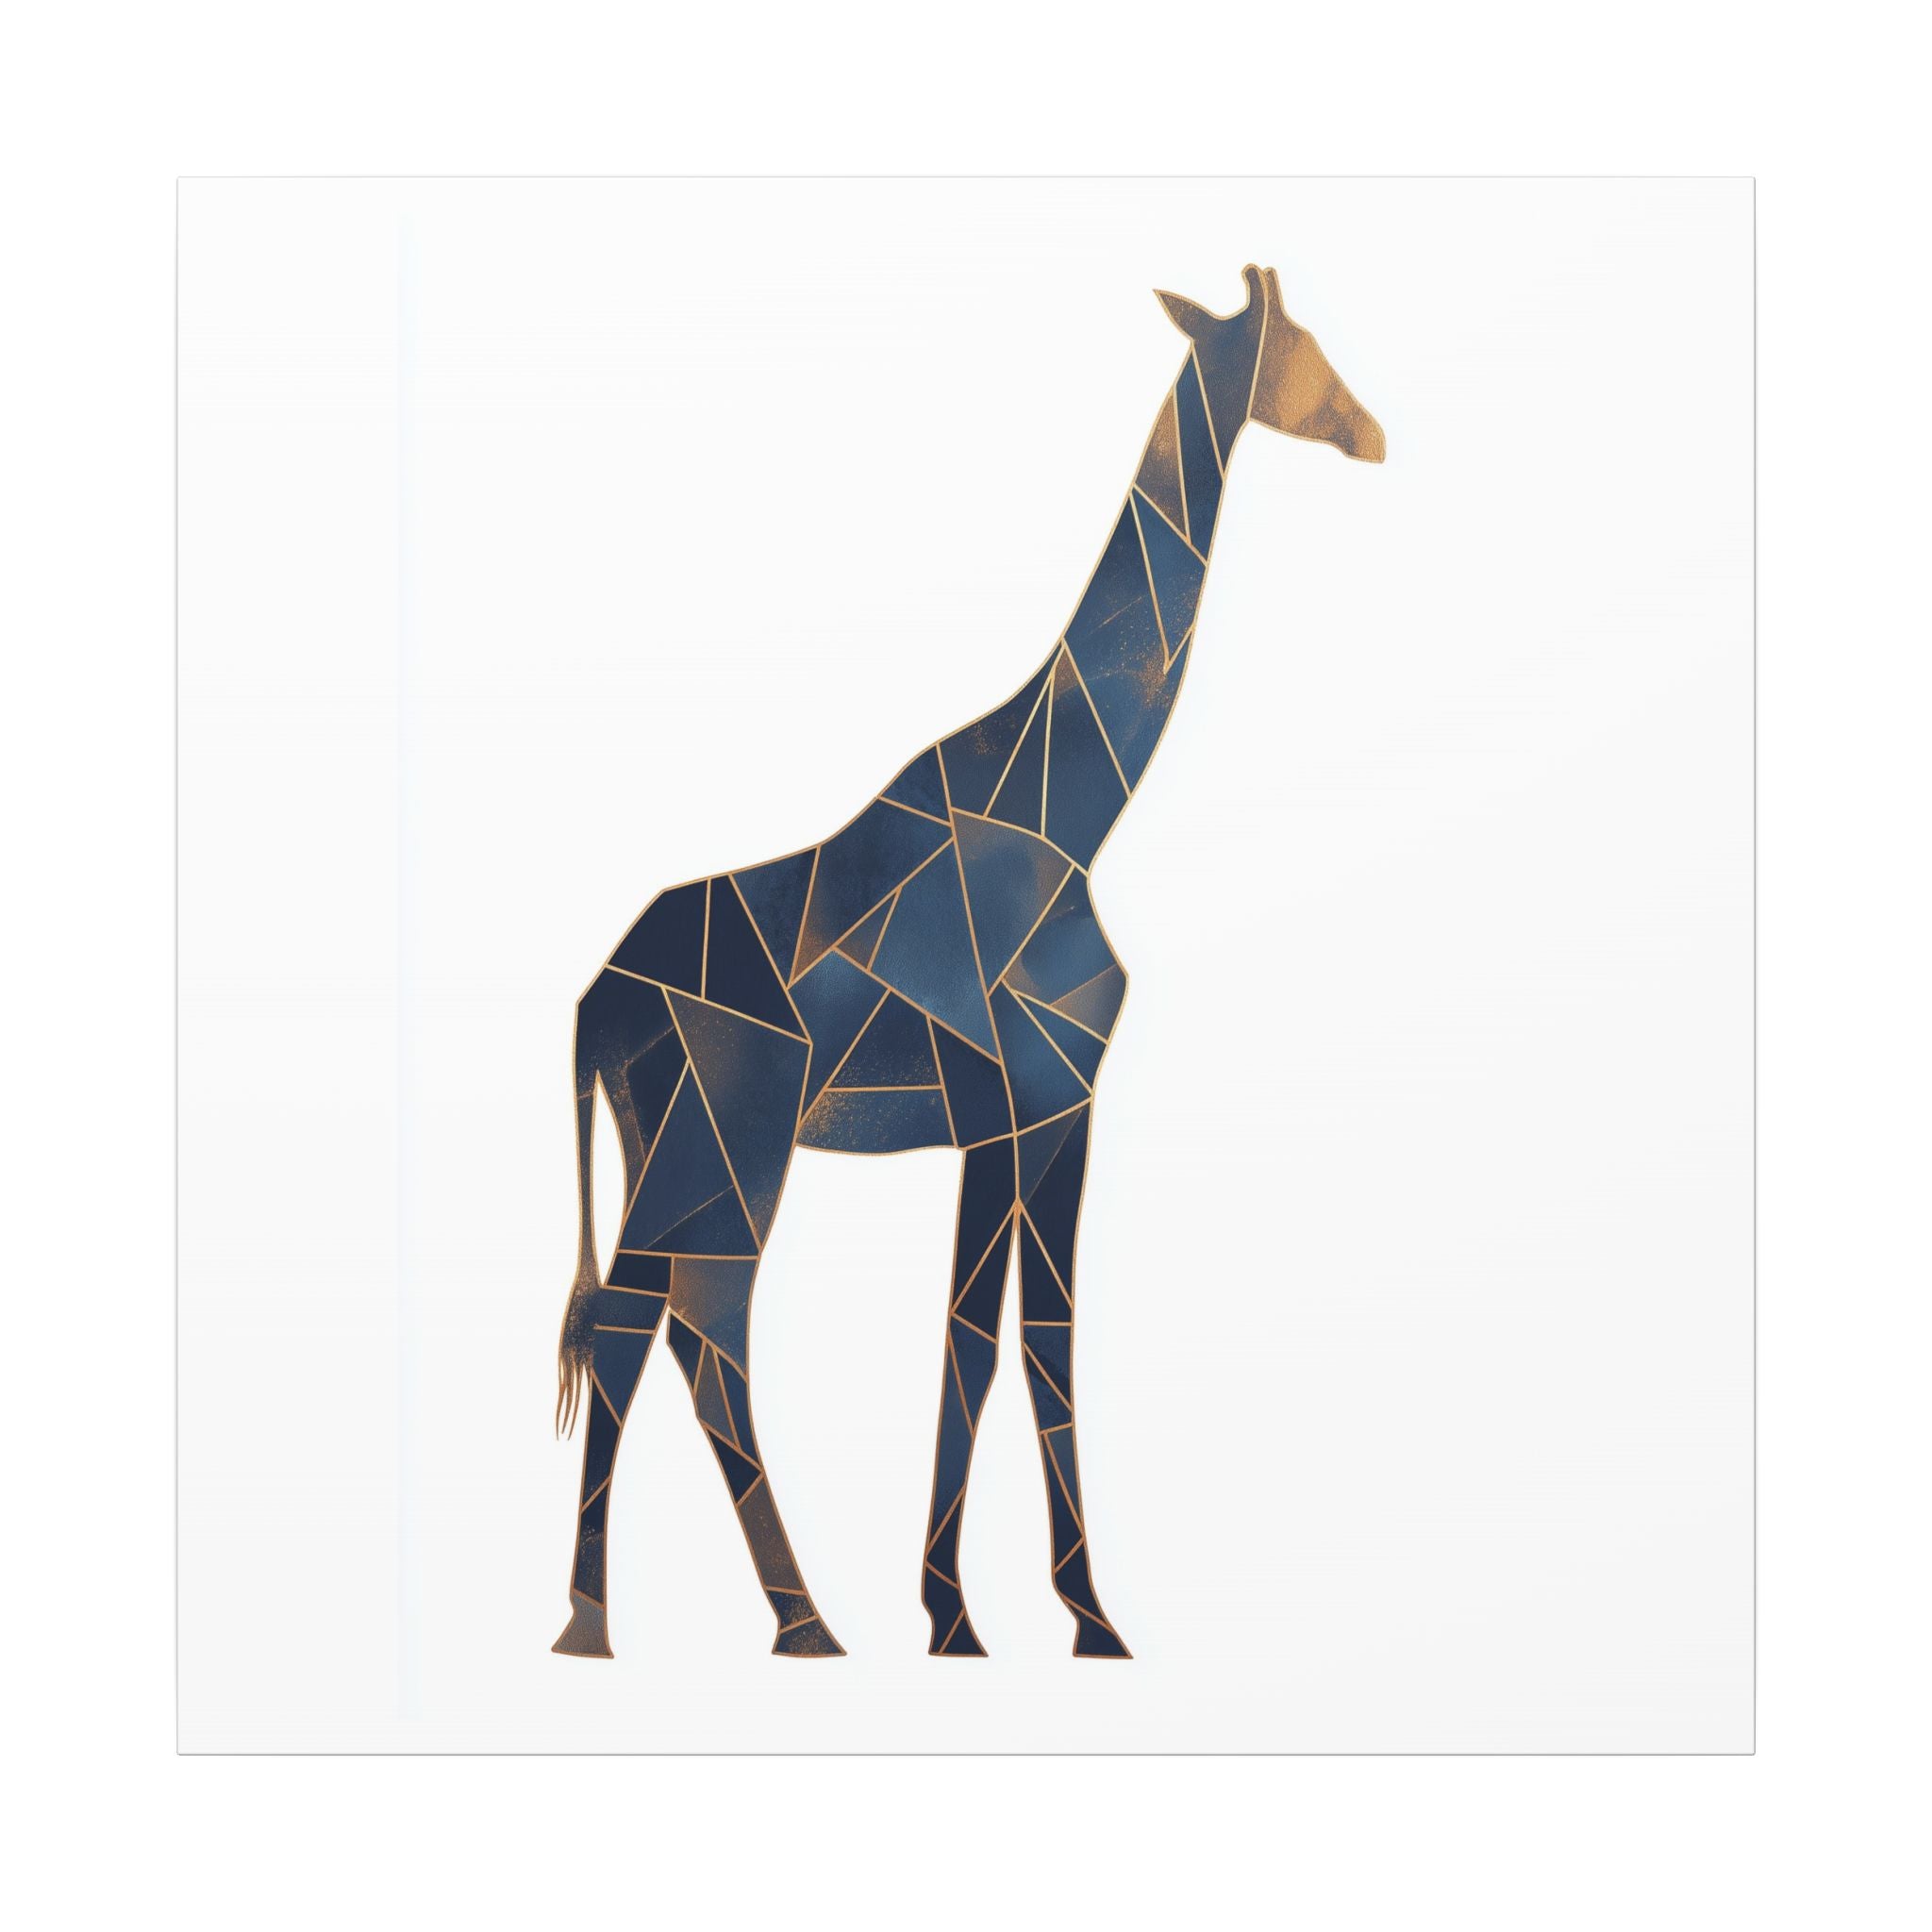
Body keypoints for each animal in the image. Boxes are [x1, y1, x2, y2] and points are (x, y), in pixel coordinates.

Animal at [551, 263, 1384, 1661]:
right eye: (1301, 344)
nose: (1371, 433)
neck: (1075, 809)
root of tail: (596, 1001)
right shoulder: (1037, 1098)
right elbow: (1011, 1341)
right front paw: (1026, 1618)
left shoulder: (1026, 1113)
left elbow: (998, 1340)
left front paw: (1006, 1613)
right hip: (731, 1138)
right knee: (677, 1324)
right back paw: (638, 1624)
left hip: (666, 1140)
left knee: (668, 1325)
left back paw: (763, 1619)